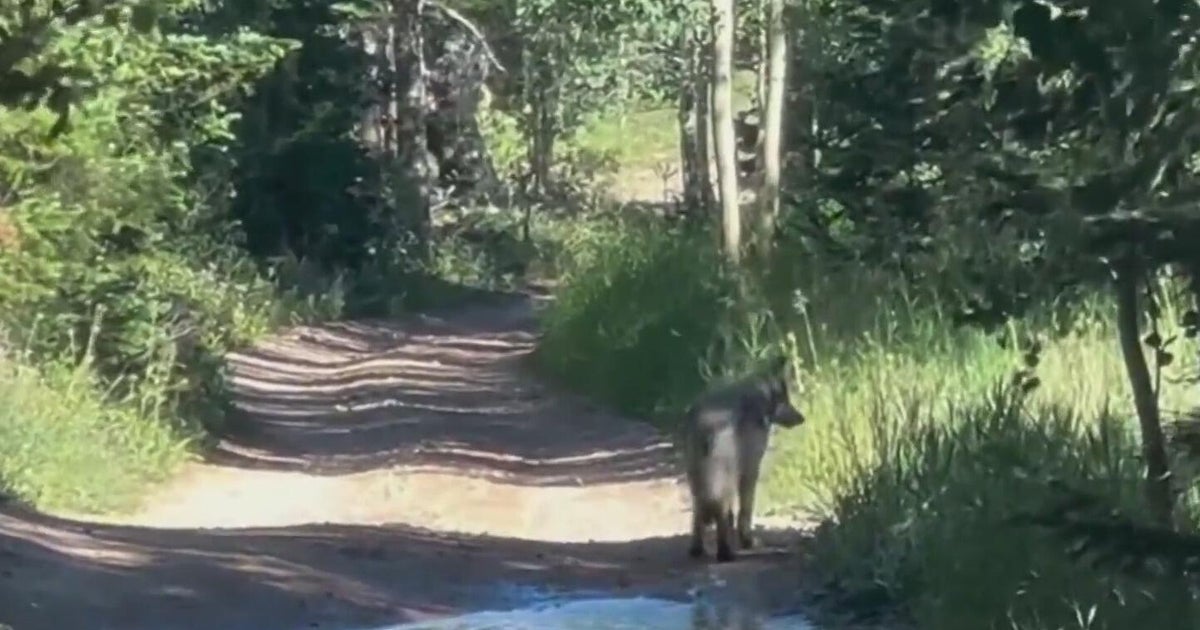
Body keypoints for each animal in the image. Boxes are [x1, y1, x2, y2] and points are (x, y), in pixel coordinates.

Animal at [682, 355, 805, 562]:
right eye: (785, 399)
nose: (802, 419)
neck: (759, 397)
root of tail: (707, 425)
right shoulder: (750, 470)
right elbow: (745, 510)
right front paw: (747, 541)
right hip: (725, 477)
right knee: (721, 512)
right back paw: (725, 553)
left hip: (696, 479)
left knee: (699, 513)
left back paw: (697, 549)